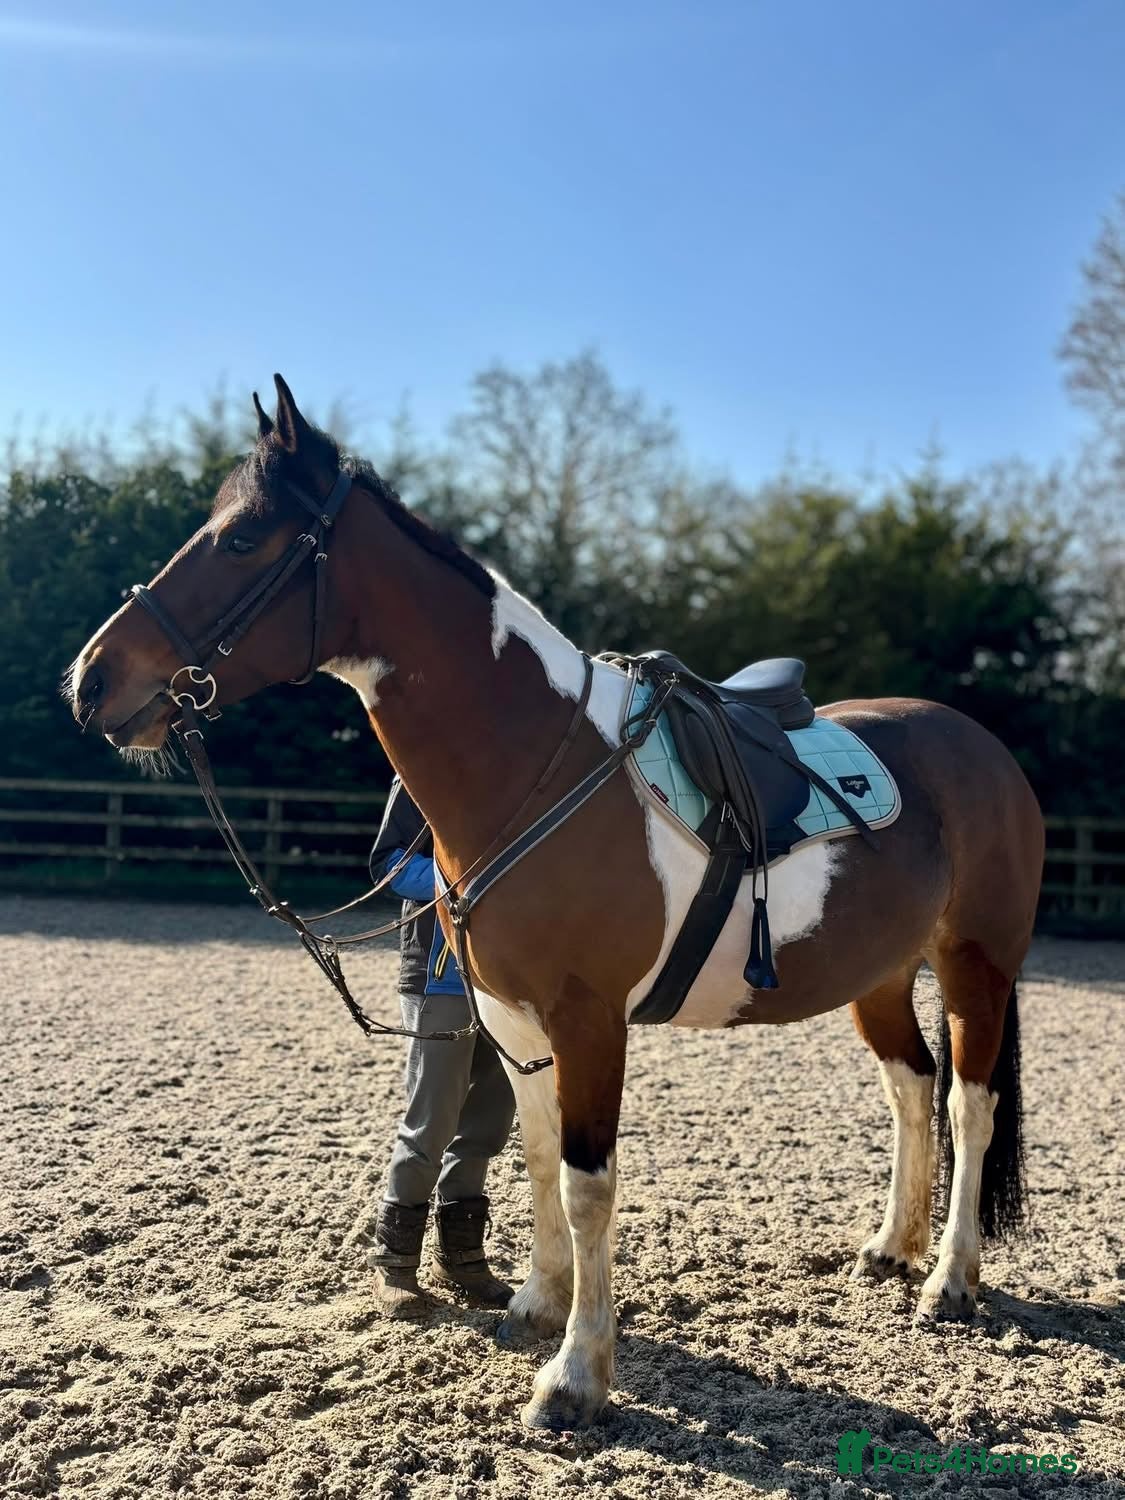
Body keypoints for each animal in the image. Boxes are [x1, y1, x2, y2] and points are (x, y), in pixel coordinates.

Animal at [69, 376, 1045, 1431]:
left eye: (244, 537)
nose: (90, 681)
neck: (539, 759)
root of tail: (982, 750)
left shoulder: (588, 1022)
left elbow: (587, 1185)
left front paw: (575, 1377)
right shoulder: (509, 1016)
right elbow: (534, 1159)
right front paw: (535, 1307)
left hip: (975, 965)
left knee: (970, 1105)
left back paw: (948, 1281)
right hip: (878, 976)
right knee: (911, 1090)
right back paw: (891, 1250)